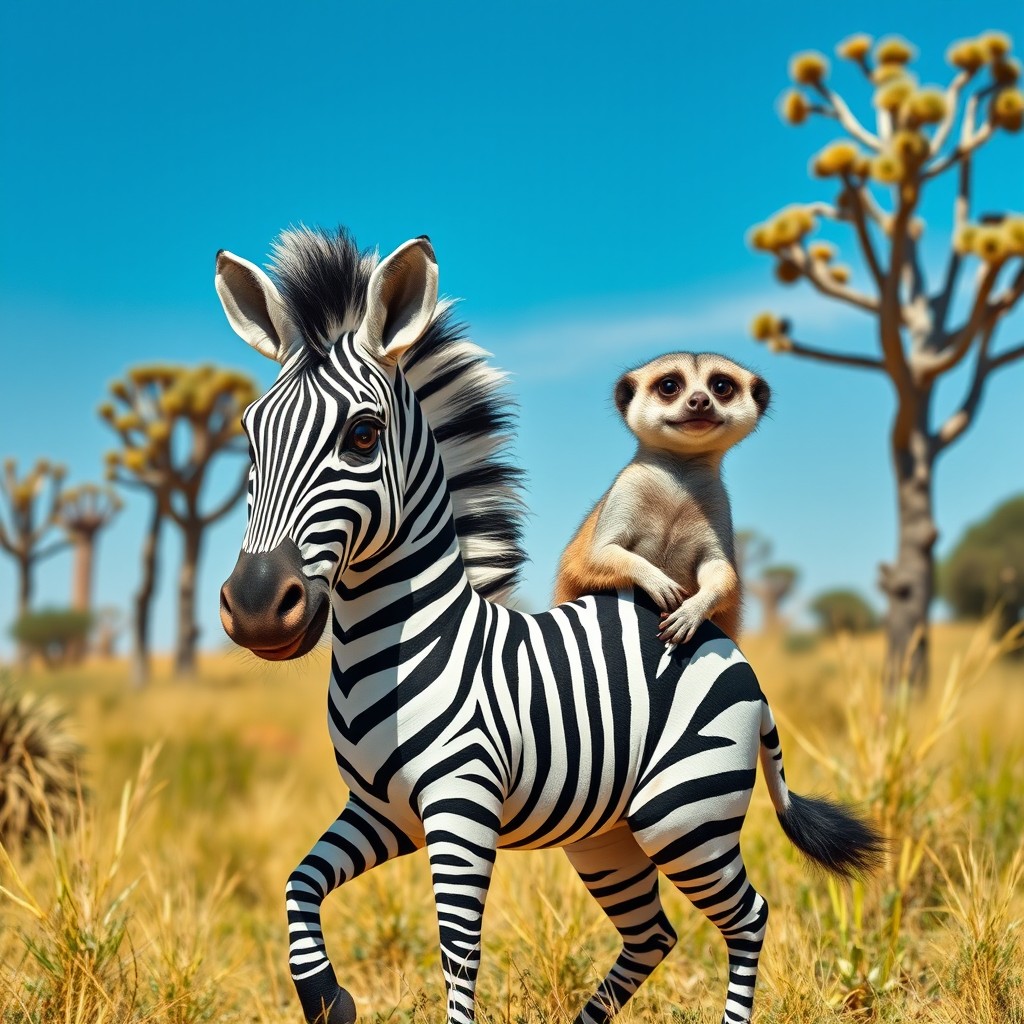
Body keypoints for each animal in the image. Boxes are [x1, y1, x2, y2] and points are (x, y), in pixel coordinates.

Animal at [214, 227, 884, 1024]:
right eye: (248, 437)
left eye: (362, 435)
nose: (257, 604)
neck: (398, 648)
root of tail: (736, 656)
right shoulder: (382, 812)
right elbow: (298, 885)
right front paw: (327, 997)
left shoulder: (461, 810)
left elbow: (458, 952)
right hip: (605, 836)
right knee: (652, 934)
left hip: (685, 813)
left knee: (748, 916)